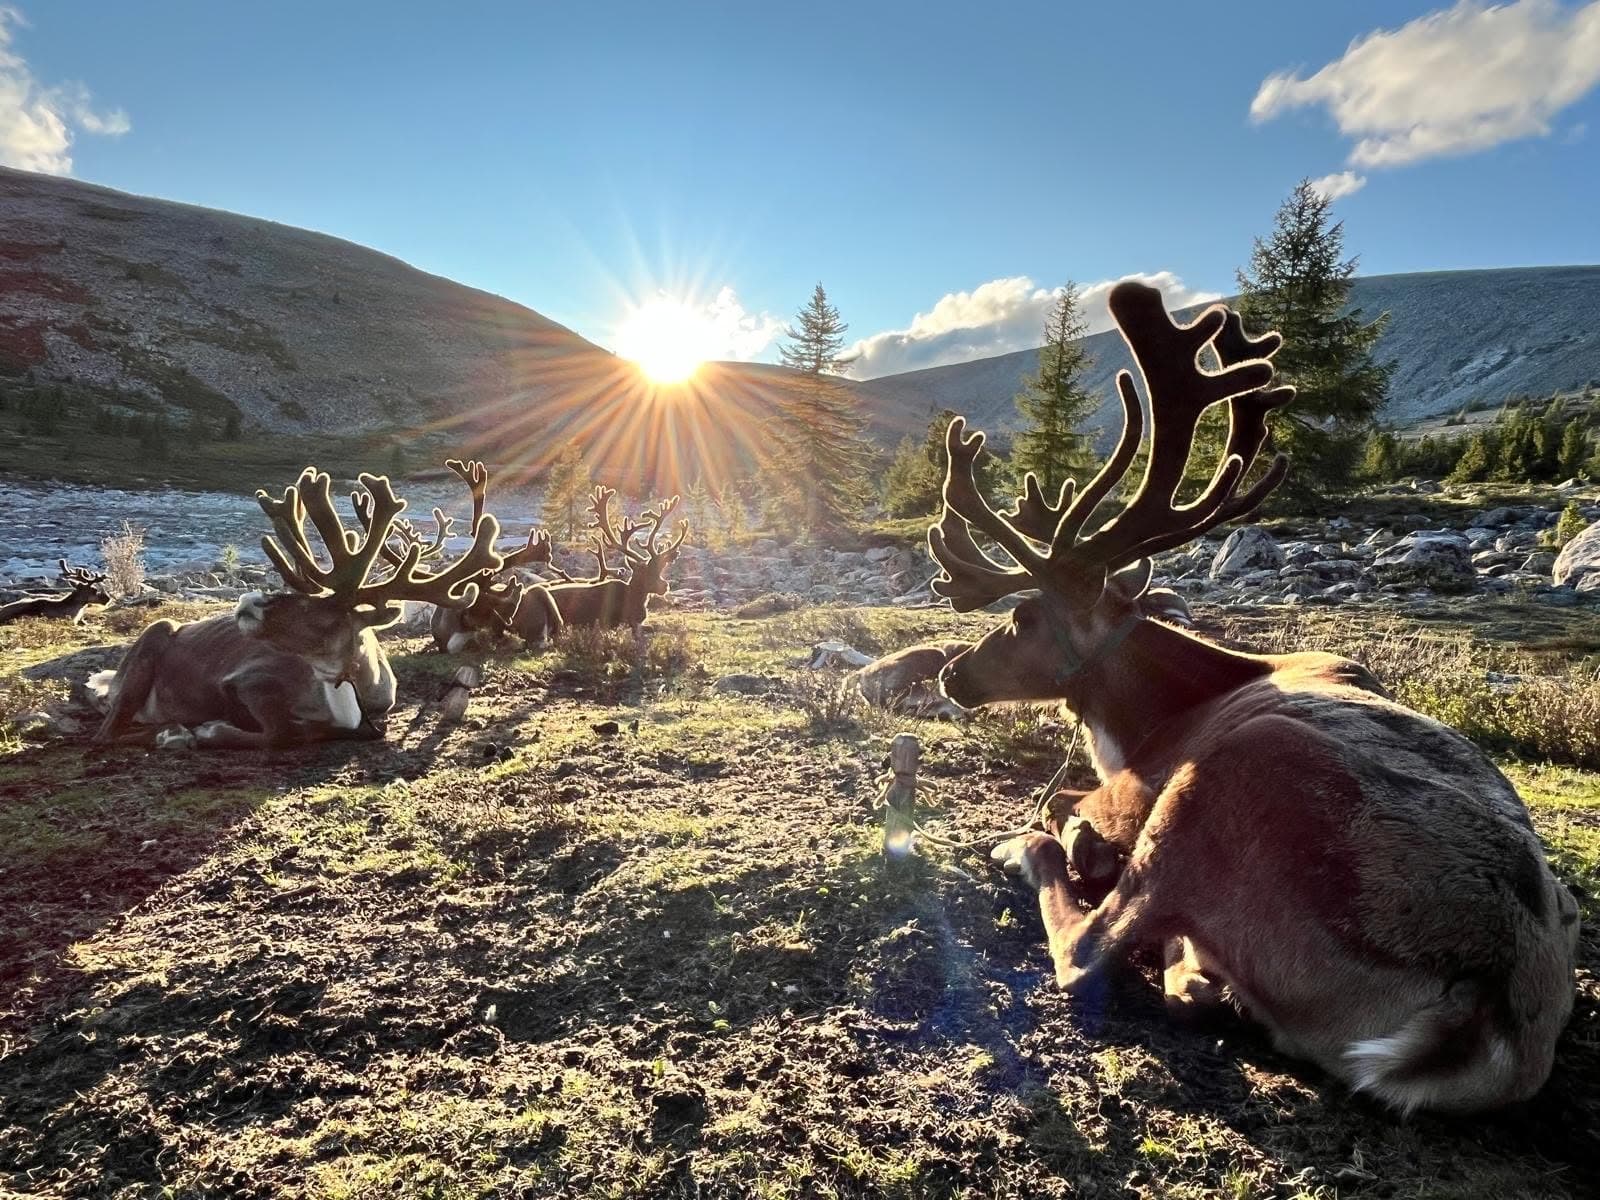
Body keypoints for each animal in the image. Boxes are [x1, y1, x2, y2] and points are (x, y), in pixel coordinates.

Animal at [89, 467, 502, 749]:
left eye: (313, 609)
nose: (248, 601)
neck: (346, 692)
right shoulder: (244, 680)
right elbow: (281, 732)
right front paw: (211, 729)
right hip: (154, 634)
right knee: (106, 731)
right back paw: (171, 733)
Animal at [930, 280, 1579, 1115]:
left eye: (1021, 617)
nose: (953, 673)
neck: (1143, 717)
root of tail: (1485, 1020)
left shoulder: (1137, 784)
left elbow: (1064, 801)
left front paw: (1071, 833)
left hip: (1228, 776)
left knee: (1089, 949)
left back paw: (1039, 853)